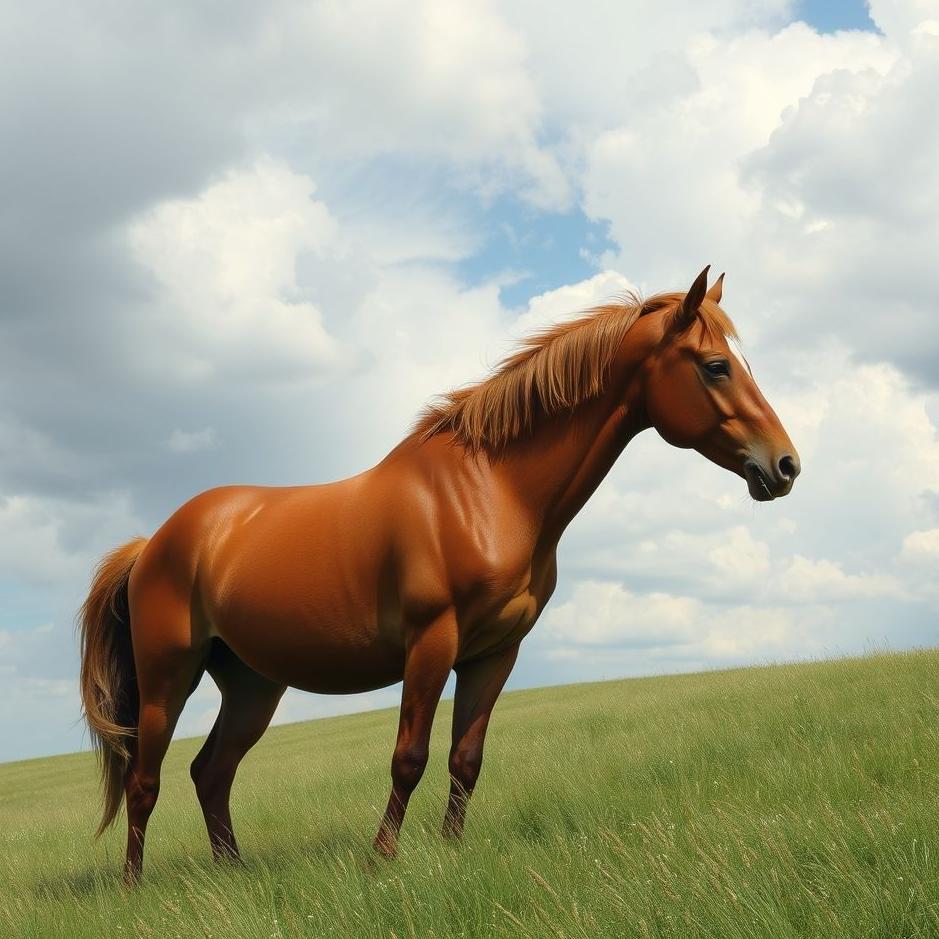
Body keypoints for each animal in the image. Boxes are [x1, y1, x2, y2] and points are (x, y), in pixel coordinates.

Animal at [79, 265, 800, 883]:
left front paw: (451, 851)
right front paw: (382, 859)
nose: (785, 465)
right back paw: (134, 887)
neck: (488, 490)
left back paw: (233, 872)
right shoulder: (432, 643)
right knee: (147, 781)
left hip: (253, 683)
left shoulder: (494, 652)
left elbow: (465, 759)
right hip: (169, 675)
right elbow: (410, 756)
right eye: (715, 366)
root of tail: (154, 542)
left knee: (212, 771)